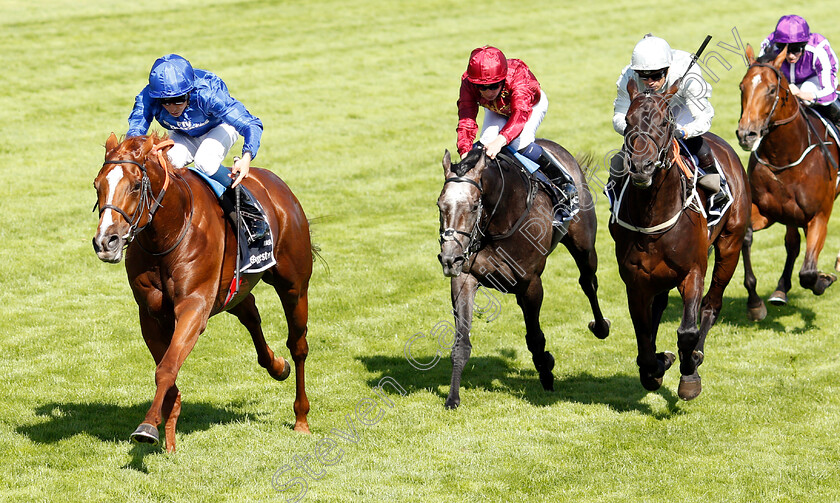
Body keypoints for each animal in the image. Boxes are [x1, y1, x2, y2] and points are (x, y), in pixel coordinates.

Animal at [92, 133, 314, 452]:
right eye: (97, 185)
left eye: (135, 185)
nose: (105, 242)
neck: (169, 232)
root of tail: (277, 185)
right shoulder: (150, 313)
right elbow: (168, 367)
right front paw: (169, 435)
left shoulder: (194, 306)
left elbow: (166, 368)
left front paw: (148, 427)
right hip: (232, 289)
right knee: (250, 311)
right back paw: (276, 365)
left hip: (294, 285)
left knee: (298, 345)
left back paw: (301, 418)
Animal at [440, 141, 612, 410]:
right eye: (440, 205)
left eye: (474, 205)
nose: (449, 259)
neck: (498, 221)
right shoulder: (464, 279)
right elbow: (461, 343)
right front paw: (452, 398)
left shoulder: (531, 283)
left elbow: (534, 337)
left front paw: (547, 373)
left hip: (584, 244)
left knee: (588, 282)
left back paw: (601, 326)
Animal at [612, 79, 748, 402]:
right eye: (628, 121)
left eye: (664, 122)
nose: (642, 166)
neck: (652, 216)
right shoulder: (636, 280)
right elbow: (643, 334)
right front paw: (655, 367)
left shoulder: (692, 271)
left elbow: (687, 331)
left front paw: (689, 374)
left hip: (730, 245)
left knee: (711, 305)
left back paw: (697, 354)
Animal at [736, 43, 840, 318]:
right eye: (742, 86)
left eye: (772, 89)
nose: (746, 134)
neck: (785, 156)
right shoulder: (765, 211)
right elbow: (746, 237)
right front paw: (755, 303)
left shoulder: (819, 217)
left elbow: (809, 272)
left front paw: (824, 280)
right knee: (792, 244)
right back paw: (781, 290)